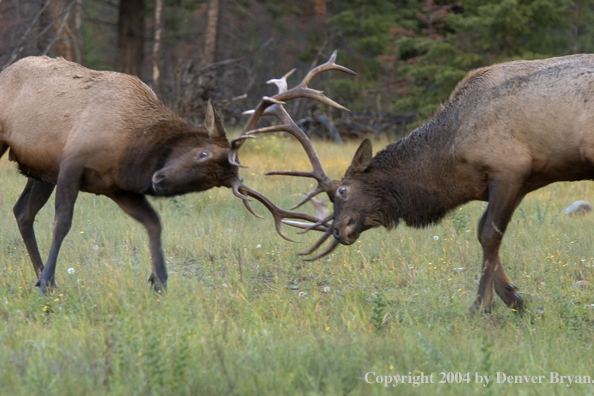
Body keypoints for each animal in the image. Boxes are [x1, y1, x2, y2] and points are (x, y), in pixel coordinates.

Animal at [1, 55, 239, 292]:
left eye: (211, 181)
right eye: (202, 153)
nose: (159, 180)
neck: (131, 142)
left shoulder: (115, 187)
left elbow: (153, 221)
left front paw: (159, 280)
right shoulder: (71, 162)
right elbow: (62, 223)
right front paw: (47, 281)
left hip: (42, 172)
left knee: (22, 212)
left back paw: (38, 273)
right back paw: (42, 276)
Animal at [231, 52, 594, 312]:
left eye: (343, 191)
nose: (338, 230)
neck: (452, 157)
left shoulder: (508, 167)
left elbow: (489, 234)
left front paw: (482, 306)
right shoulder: (521, 178)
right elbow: (484, 232)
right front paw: (514, 297)